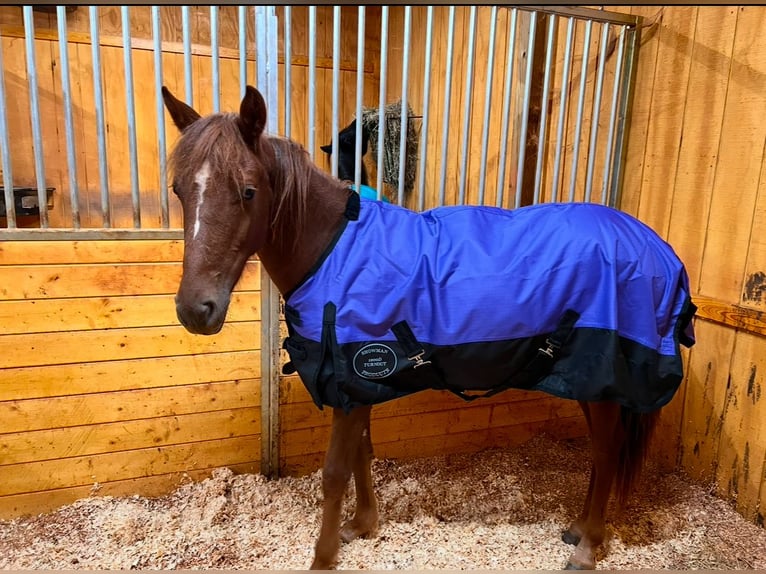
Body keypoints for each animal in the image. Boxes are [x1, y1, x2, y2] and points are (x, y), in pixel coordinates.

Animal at [164, 85, 704, 572]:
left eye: (248, 190)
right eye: (179, 189)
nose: (196, 310)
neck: (333, 249)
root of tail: (658, 248)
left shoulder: (353, 380)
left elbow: (335, 472)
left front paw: (324, 557)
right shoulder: (362, 381)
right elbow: (363, 455)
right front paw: (363, 526)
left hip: (604, 380)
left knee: (609, 452)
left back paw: (587, 548)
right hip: (591, 385)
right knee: (600, 452)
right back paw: (577, 530)